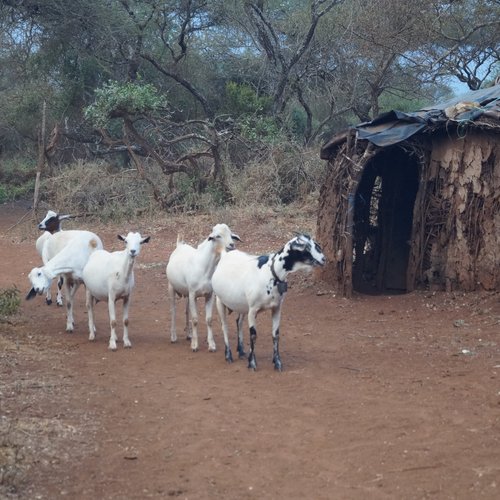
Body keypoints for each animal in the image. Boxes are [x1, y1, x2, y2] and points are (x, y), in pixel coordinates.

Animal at [165, 223, 241, 352]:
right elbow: (195, 319)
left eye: (231, 235)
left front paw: (212, 345)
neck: (204, 267)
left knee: (186, 311)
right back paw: (173, 336)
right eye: (218, 236)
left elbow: (209, 319)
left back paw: (189, 334)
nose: (232, 245)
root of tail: (180, 244)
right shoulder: (193, 294)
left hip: (187, 293)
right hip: (171, 287)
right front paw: (195, 345)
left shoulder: (209, 295)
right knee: (173, 311)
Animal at [212, 234, 326, 372]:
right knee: (225, 327)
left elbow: (275, 335)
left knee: (238, 322)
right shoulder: (253, 310)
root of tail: (225, 254)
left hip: (242, 305)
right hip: (219, 300)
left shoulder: (276, 308)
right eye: (306, 248)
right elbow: (253, 335)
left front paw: (277, 362)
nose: (323, 259)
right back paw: (228, 355)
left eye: (316, 245)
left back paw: (241, 351)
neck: (270, 273)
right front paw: (252, 363)